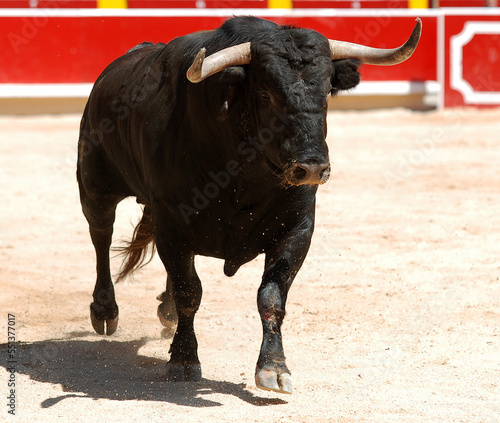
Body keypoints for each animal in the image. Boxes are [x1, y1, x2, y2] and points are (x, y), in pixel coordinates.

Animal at [76, 16, 420, 394]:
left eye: (326, 92)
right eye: (266, 94)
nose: (312, 167)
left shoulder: (297, 228)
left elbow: (271, 297)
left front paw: (274, 368)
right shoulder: (172, 223)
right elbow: (189, 292)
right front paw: (183, 359)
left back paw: (164, 310)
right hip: (94, 184)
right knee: (101, 236)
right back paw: (105, 311)